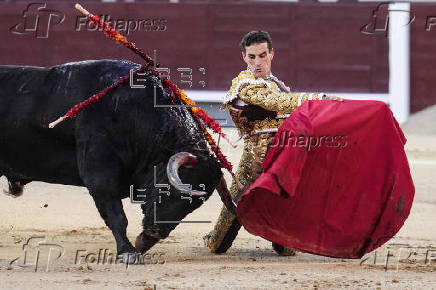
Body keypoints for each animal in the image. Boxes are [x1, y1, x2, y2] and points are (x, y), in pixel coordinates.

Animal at [0, 59, 235, 260]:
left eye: (194, 206)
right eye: (171, 191)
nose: (156, 231)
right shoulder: (100, 173)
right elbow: (116, 215)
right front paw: (128, 252)